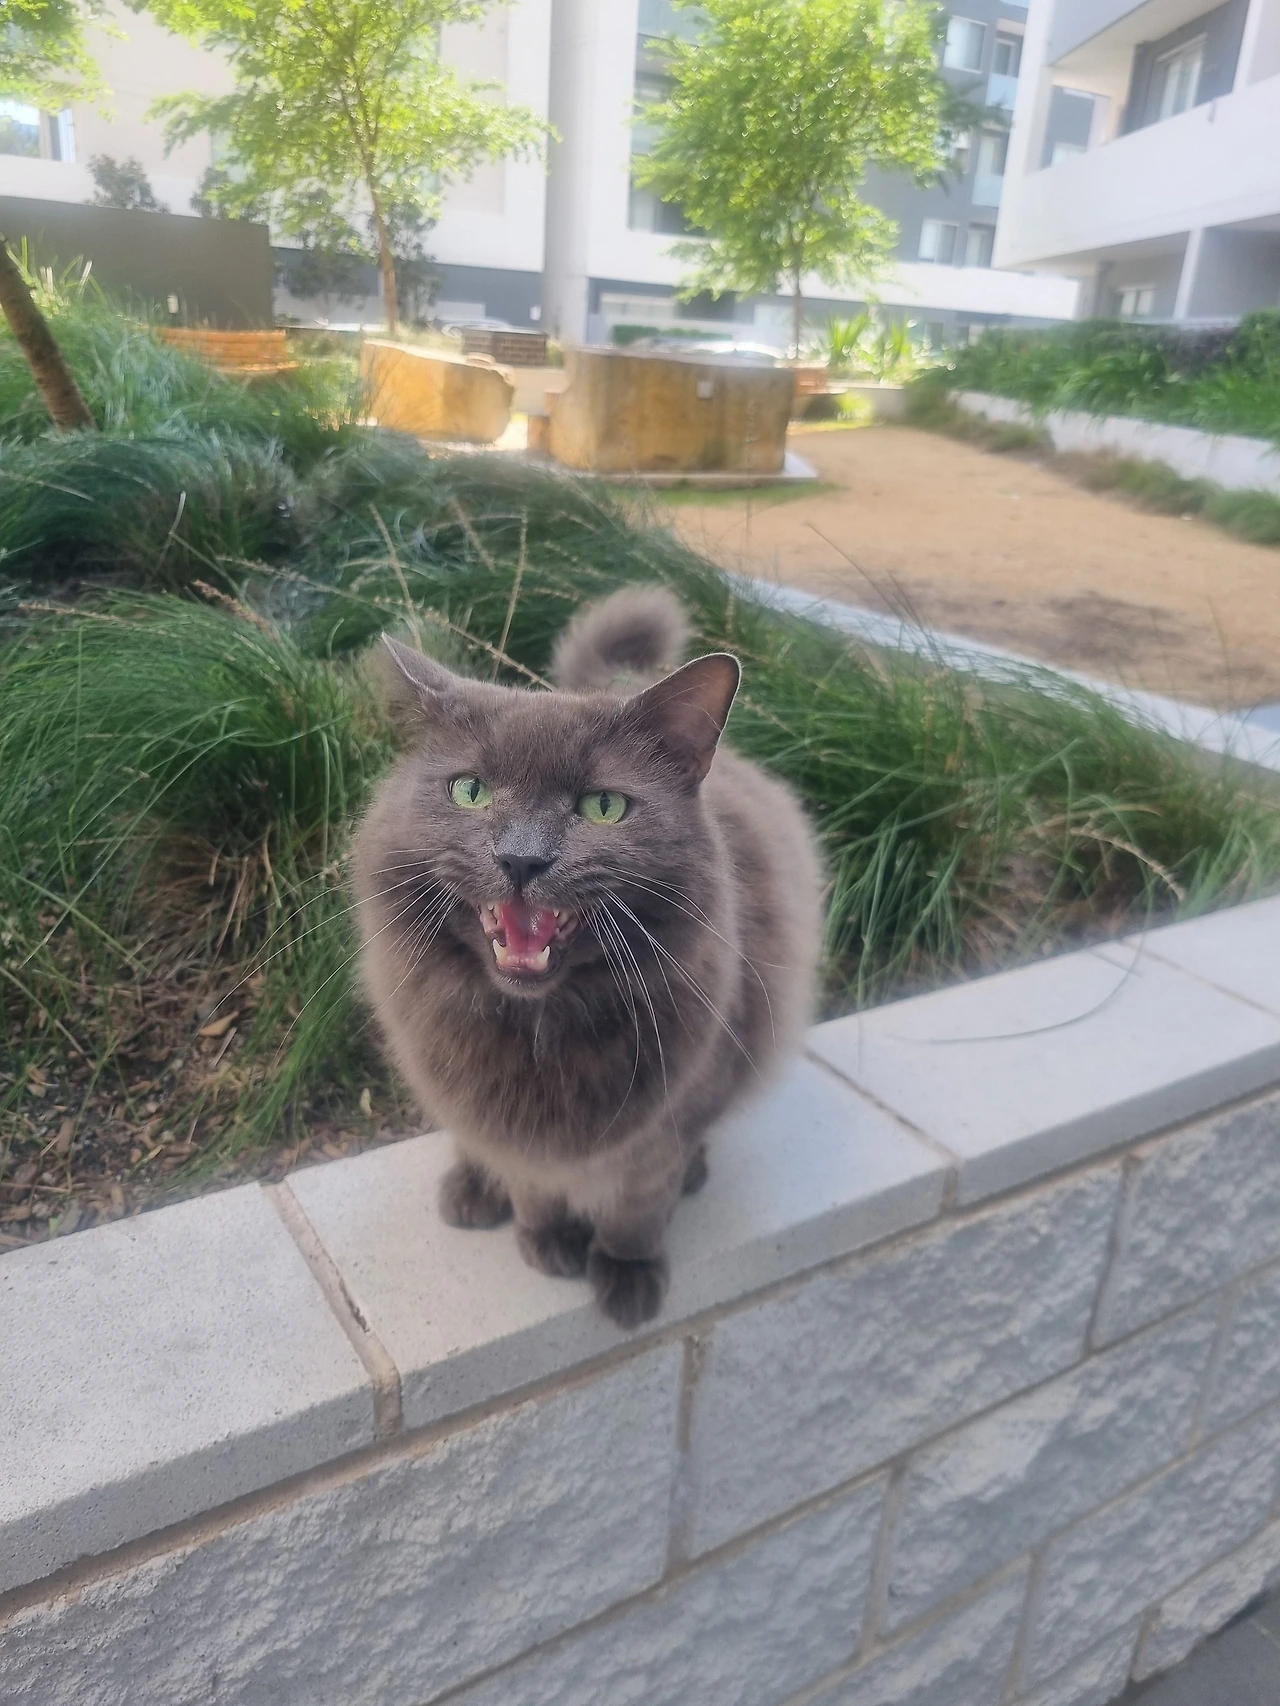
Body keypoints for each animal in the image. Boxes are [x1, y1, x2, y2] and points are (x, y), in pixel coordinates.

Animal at [353, 584, 823, 1328]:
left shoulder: (668, 1123)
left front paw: (627, 1277)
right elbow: (532, 1184)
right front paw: (549, 1240)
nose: (521, 858)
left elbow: (639, 1205)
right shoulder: (512, 1133)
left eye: (603, 806)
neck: (541, 1032)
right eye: (471, 791)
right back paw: (472, 1190)